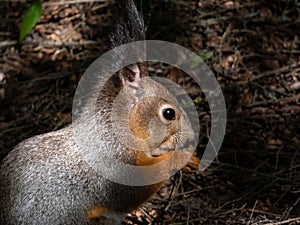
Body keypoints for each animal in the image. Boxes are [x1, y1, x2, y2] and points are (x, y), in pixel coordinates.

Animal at [1, 0, 200, 224]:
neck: (113, 131)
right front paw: (181, 156)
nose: (191, 137)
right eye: (169, 114)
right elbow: (133, 191)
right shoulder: (115, 167)